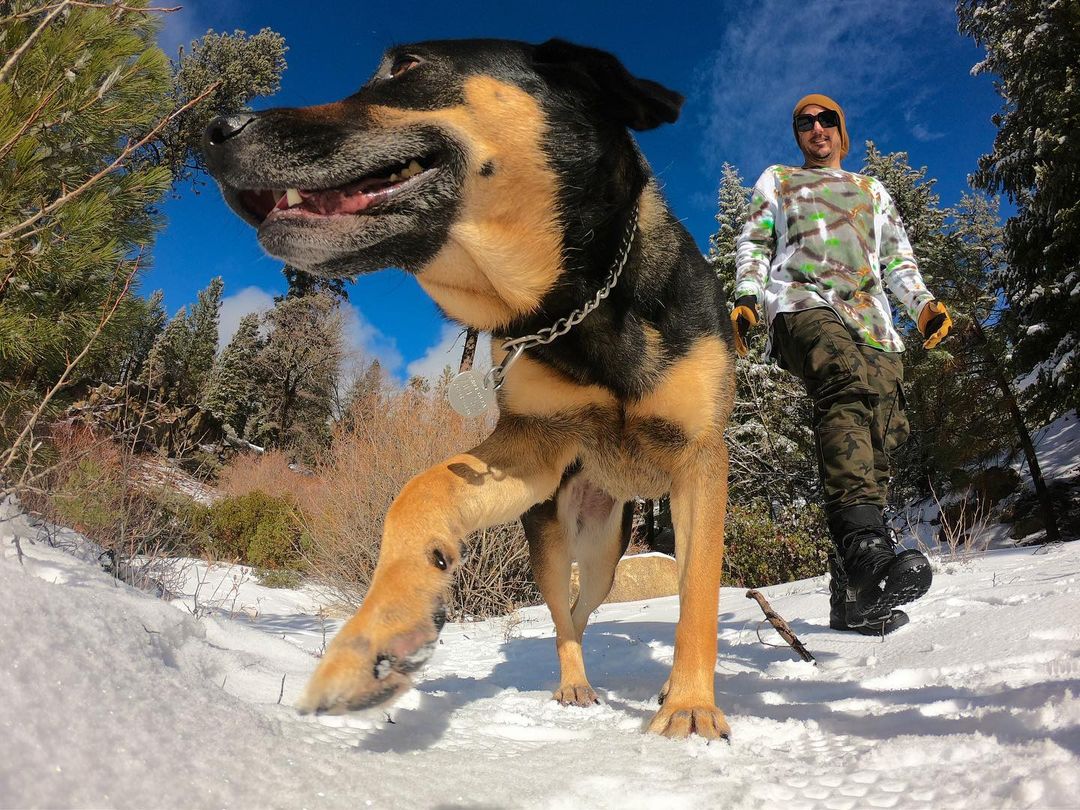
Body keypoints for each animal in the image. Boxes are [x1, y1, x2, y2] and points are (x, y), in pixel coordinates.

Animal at [203, 38, 736, 739]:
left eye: (405, 66)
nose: (214, 131)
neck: (584, 304)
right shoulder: (534, 445)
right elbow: (419, 492)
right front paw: (375, 636)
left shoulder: (700, 461)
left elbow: (698, 595)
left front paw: (691, 707)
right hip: (563, 538)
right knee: (567, 616)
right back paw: (574, 684)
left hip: (607, 549)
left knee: (592, 605)